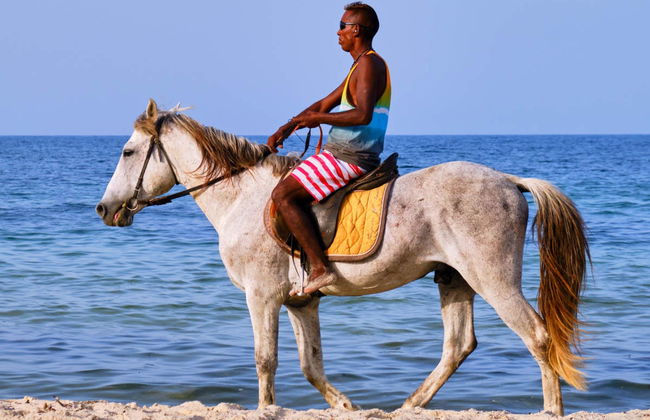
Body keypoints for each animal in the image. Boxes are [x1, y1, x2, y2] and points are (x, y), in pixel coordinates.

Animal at [96, 99, 589, 416]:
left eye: (128, 151)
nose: (104, 209)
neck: (241, 197)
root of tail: (510, 181)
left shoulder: (262, 295)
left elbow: (265, 358)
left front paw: (265, 408)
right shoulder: (301, 301)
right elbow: (309, 364)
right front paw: (345, 404)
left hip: (493, 279)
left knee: (537, 336)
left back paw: (551, 410)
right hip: (454, 279)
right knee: (458, 345)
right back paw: (410, 405)